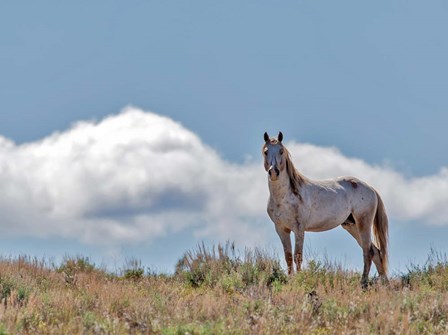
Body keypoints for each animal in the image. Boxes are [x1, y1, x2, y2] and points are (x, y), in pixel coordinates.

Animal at [262, 132, 388, 288]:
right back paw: (385, 284)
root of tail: (371, 188)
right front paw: (290, 280)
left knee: (368, 252)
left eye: (281, 151)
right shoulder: (281, 229)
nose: (273, 172)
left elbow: (298, 256)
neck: (285, 197)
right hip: (352, 226)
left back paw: (363, 283)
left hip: (363, 224)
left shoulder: (299, 229)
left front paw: (299, 280)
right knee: (376, 252)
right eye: (266, 151)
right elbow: (288, 256)